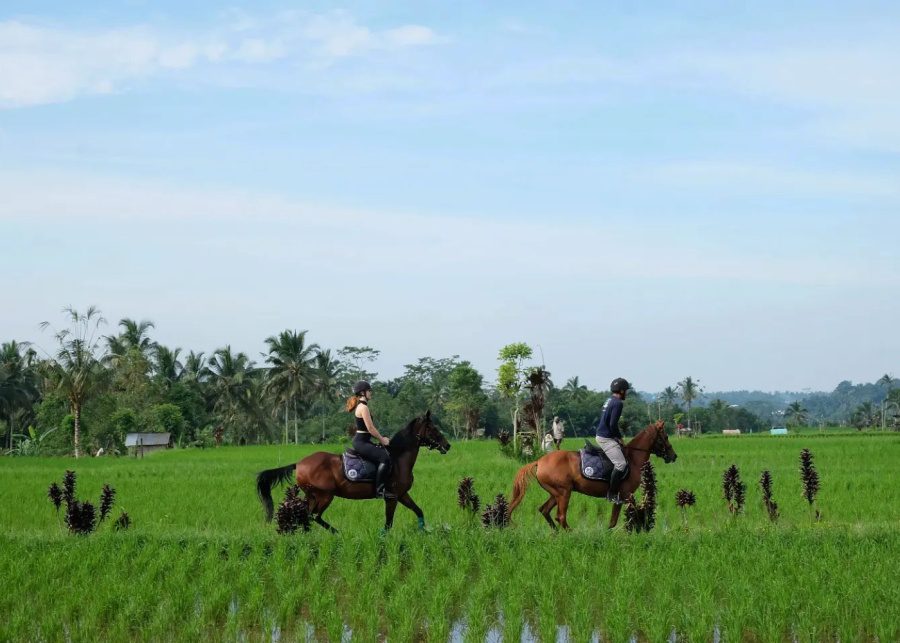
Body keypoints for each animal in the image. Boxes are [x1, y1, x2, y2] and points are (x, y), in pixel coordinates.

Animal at [253, 412, 450, 532]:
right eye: (432, 428)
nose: (447, 445)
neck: (398, 458)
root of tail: (299, 464)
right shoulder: (392, 497)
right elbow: (388, 523)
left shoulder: (402, 494)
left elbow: (419, 511)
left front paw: (424, 531)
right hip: (324, 496)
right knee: (313, 516)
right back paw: (337, 533)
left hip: (313, 496)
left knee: (306, 515)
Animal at [510, 420, 680, 532]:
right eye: (665, 437)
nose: (674, 456)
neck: (633, 458)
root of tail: (539, 461)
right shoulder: (626, 495)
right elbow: (629, 515)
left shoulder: (621, 497)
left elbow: (613, 521)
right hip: (564, 492)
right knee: (561, 516)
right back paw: (571, 534)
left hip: (556, 493)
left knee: (545, 510)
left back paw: (557, 533)